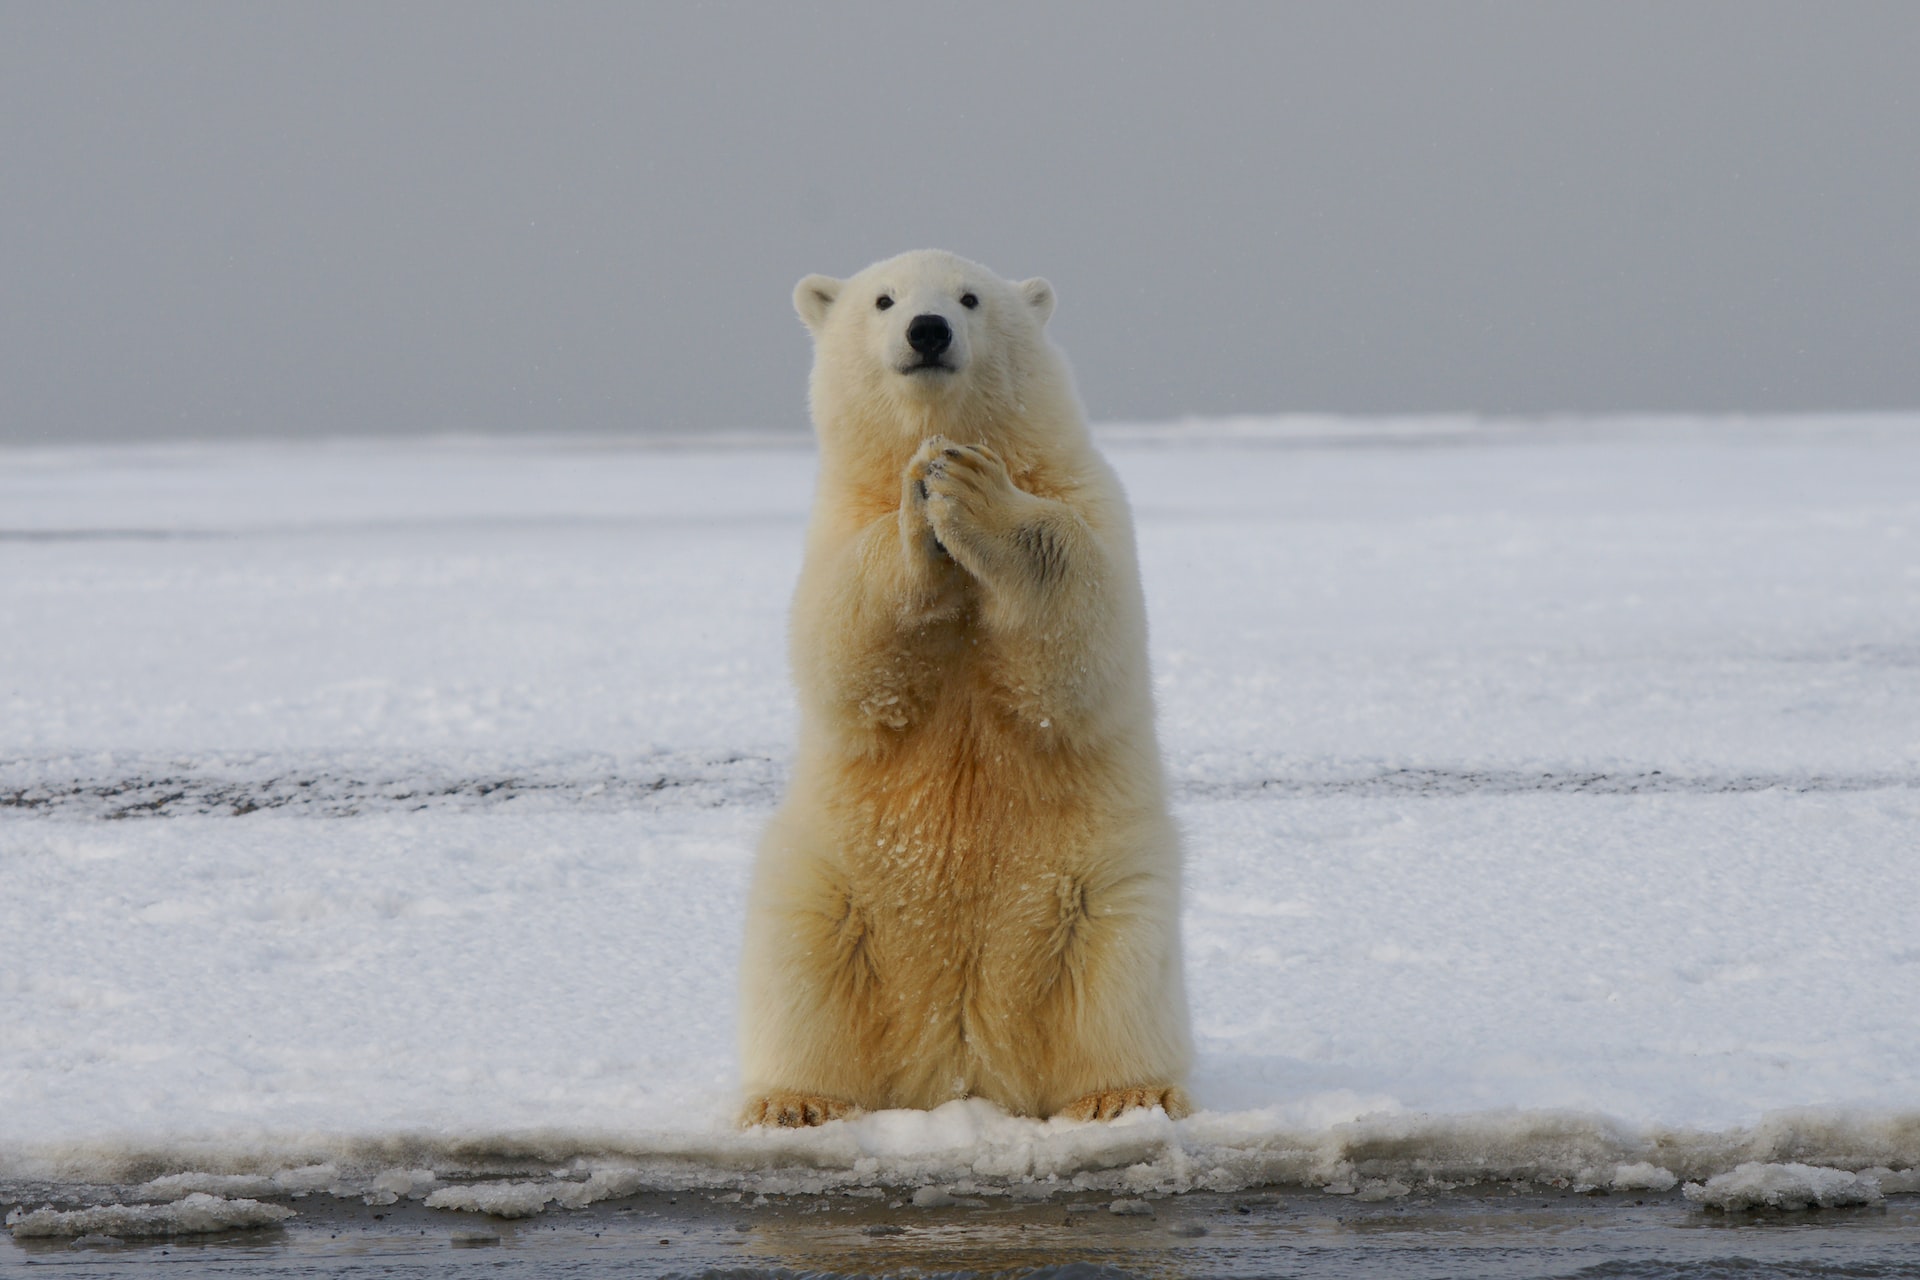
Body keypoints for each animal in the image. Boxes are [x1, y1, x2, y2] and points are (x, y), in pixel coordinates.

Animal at [741, 253, 1190, 1128]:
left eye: (971, 298)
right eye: (883, 300)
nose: (927, 330)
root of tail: (962, 1065)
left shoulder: (1089, 497)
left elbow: (1083, 636)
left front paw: (974, 491)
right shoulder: (836, 522)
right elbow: (844, 646)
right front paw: (922, 502)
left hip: (1099, 888)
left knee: (1118, 979)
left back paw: (1124, 1094)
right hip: (832, 886)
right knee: (802, 970)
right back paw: (796, 1102)